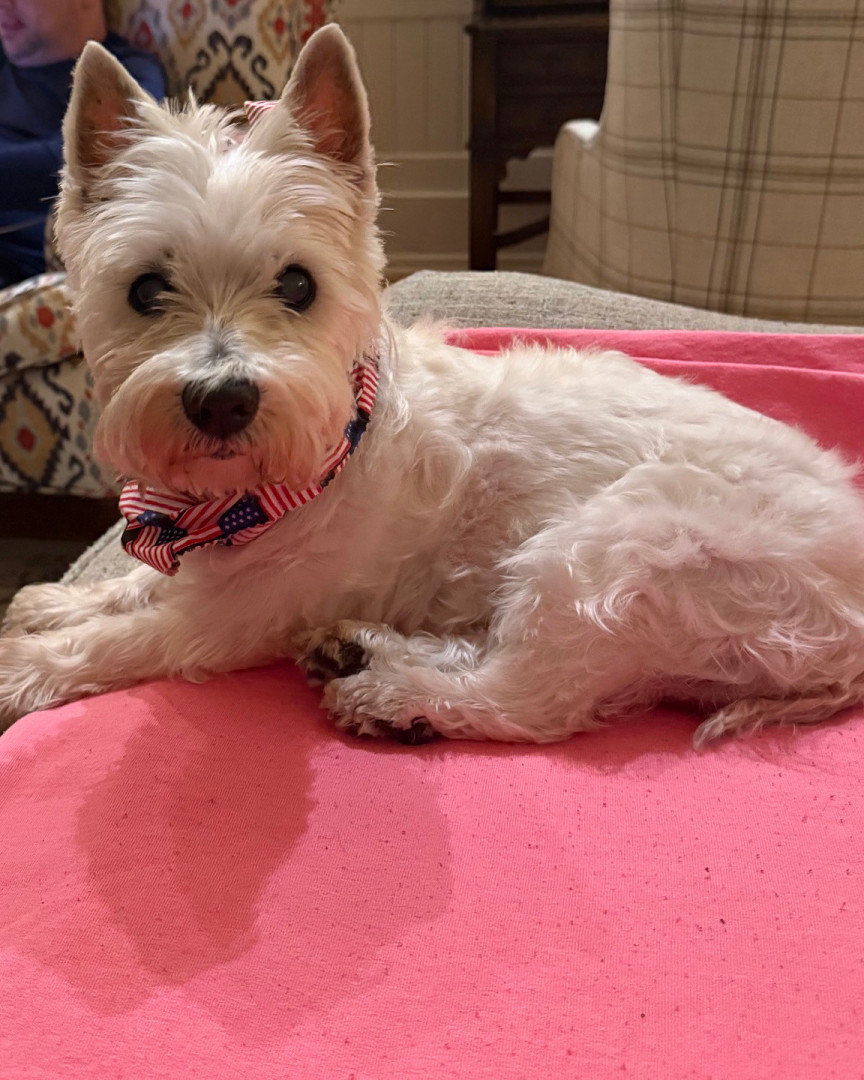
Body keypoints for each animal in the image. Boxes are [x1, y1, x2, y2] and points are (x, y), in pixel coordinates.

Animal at [3, 25, 864, 749]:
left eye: (298, 284)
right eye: (146, 290)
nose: (222, 400)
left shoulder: (242, 614)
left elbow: (127, 637)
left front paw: (20, 665)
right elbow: (133, 588)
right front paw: (54, 602)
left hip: (618, 548)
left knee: (532, 698)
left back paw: (393, 695)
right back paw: (361, 649)